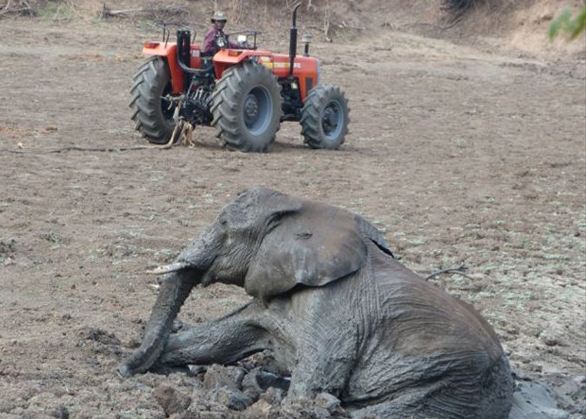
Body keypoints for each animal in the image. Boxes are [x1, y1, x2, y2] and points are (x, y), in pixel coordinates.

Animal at [118, 188, 512, 419]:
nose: (124, 370)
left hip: (452, 384)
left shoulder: (335, 302)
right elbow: (217, 340)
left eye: (225, 225)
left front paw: (293, 407)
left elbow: (317, 377)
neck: (305, 211)